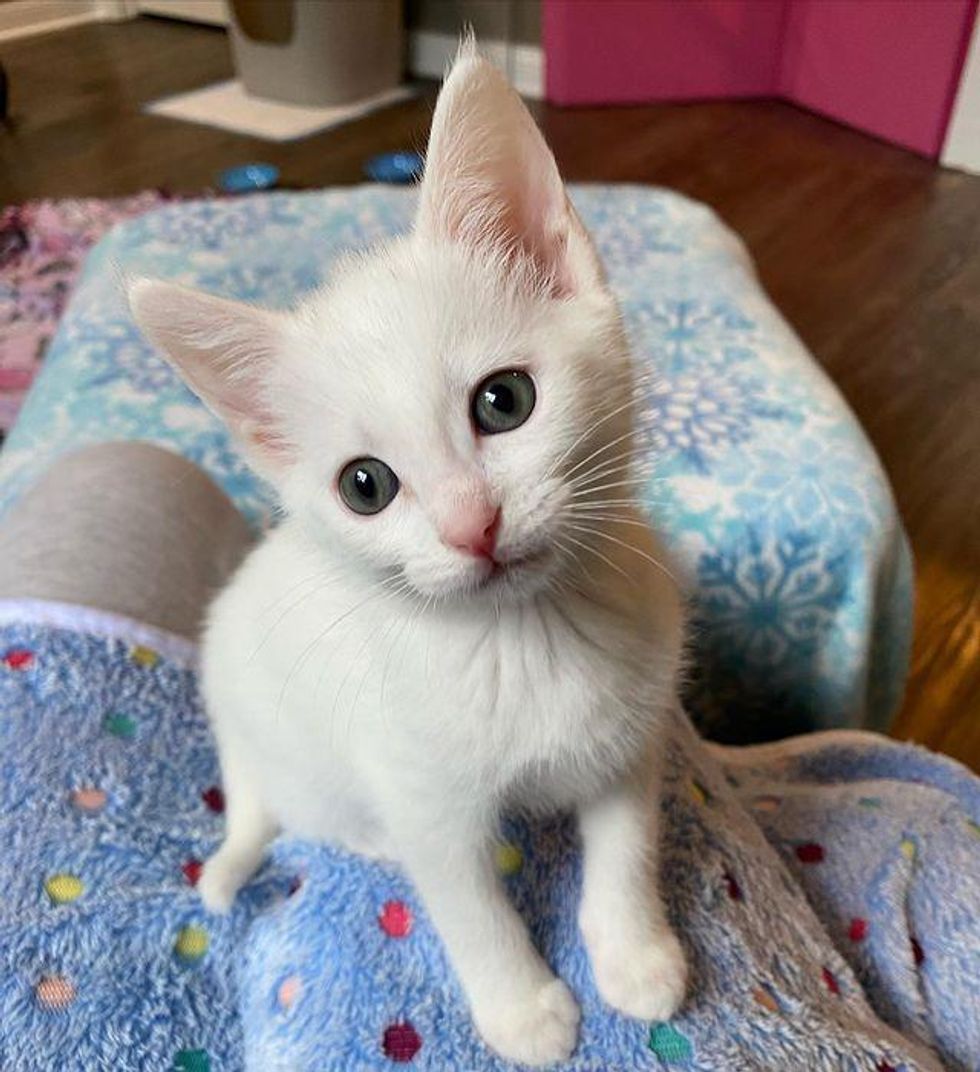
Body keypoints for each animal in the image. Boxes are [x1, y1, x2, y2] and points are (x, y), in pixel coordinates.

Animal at [129, 39, 681, 1063]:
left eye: (505, 401)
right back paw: (368, 839)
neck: (524, 642)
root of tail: (234, 745)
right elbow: (468, 905)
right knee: (321, 820)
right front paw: (523, 1010)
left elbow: (626, 847)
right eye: (365, 486)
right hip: (305, 757)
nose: (473, 525)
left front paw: (637, 956)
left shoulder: (632, 733)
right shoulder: (424, 792)